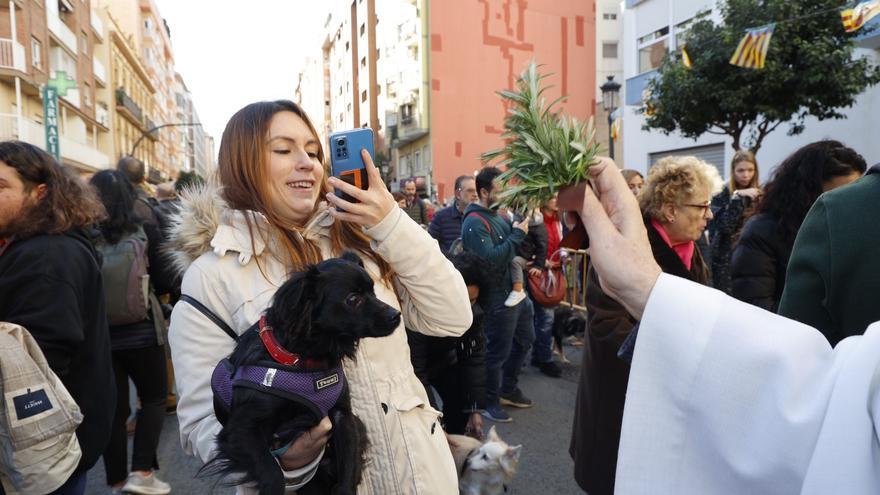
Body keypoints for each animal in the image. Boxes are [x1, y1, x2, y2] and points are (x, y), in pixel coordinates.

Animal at [205, 254, 400, 494]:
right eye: (353, 299)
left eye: (373, 291)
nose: (396, 315)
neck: (303, 361)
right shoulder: (239, 430)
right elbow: (271, 471)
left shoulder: (343, 417)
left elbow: (348, 469)